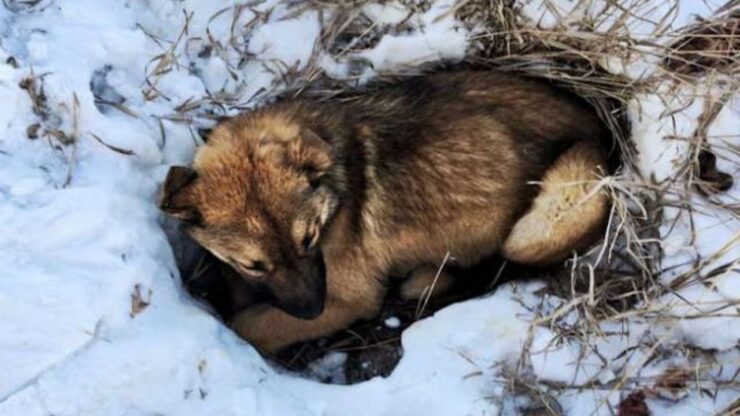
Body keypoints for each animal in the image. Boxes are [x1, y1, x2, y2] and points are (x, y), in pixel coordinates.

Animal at [159, 70, 608, 354]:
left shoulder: (350, 299)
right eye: (253, 264)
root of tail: (601, 128)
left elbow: (251, 325)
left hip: (554, 211)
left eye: (310, 238)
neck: (336, 188)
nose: (313, 310)